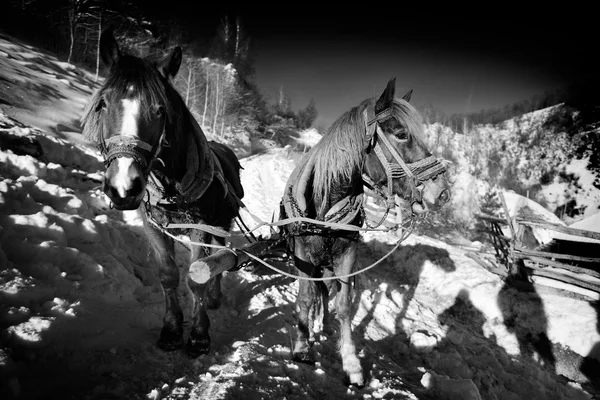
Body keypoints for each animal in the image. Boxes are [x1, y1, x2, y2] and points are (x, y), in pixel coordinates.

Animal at [79, 31, 244, 356]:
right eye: (103, 103)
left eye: (160, 110)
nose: (123, 185)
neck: (171, 186)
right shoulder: (153, 225)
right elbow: (169, 274)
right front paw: (171, 329)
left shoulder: (200, 227)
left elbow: (196, 277)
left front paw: (199, 334)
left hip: (221, 222)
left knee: (221, 253)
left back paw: (215, 296)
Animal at [282, 76, 450, 386]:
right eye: (401, 134)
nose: (443, 192)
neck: (327, 205)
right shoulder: (302, 255)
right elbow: (305, 297)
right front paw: (301, 347)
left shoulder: (347, 253)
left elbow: (344, 304)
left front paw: (351, 363)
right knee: (316, 291)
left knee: (326, 289)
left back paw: (323, 325)